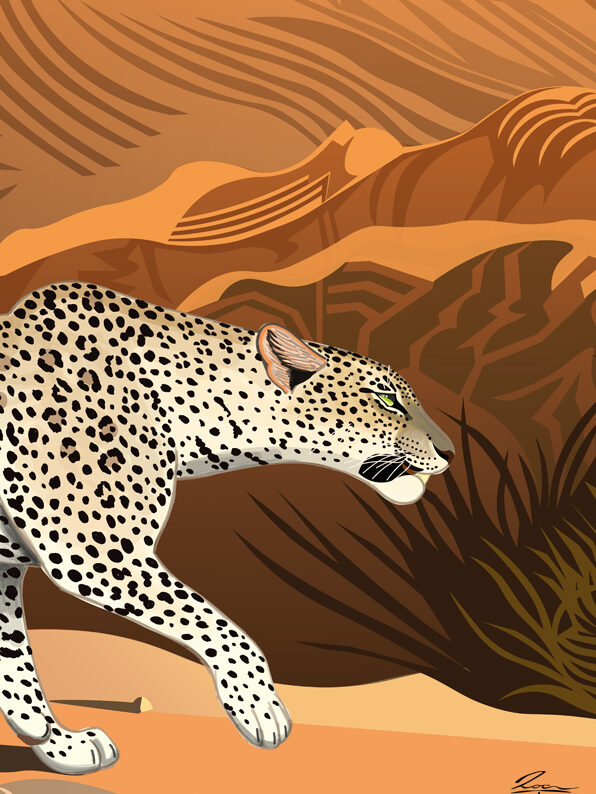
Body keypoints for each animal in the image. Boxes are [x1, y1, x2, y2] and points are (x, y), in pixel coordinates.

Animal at [0, 281, 454, 775]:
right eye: (386, 399)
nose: (450, 451)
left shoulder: (8, 572)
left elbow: (13, 656)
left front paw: (55, 741)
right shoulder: (98, 552)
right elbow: (216, 624)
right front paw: (259, 706)